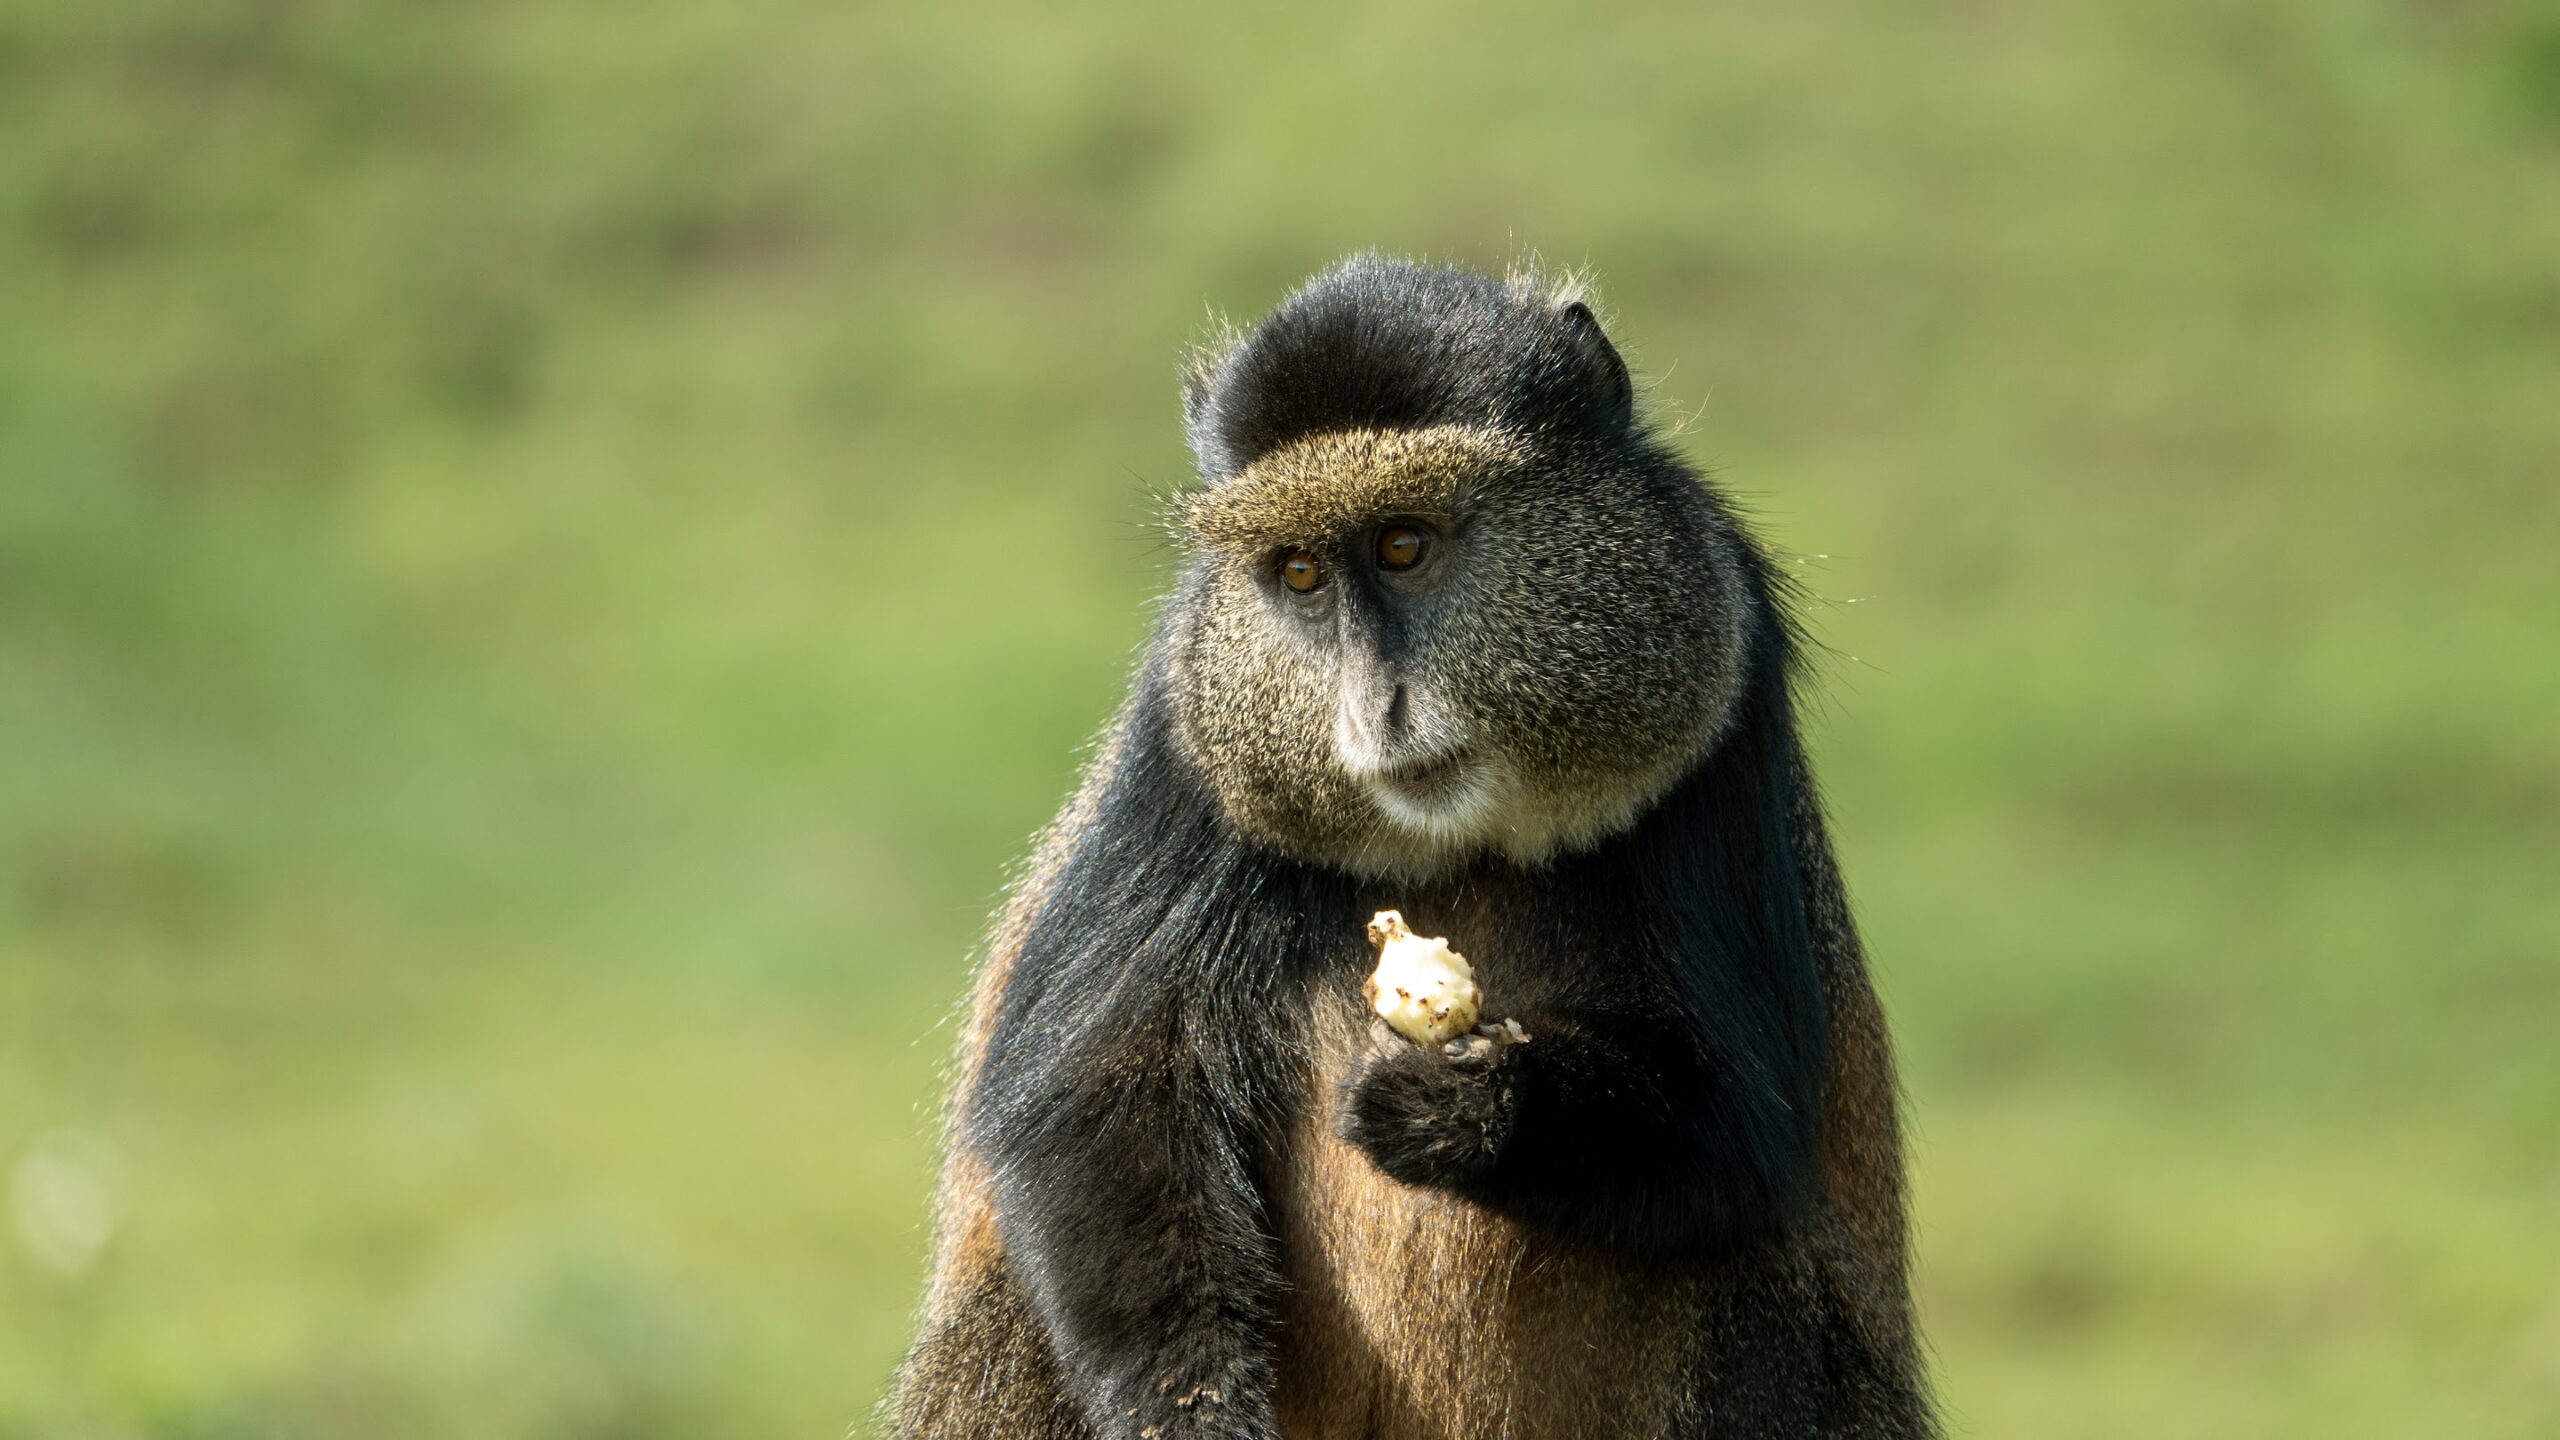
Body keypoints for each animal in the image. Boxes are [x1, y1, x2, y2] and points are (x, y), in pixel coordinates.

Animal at [879, 254, 1933, 1440]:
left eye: (1402, 545)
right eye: (1298, 573)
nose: (1373, 710)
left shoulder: (1723, 683)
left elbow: (1738, 1125)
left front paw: (1466, 1106)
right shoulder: (1185, 739)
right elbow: (1090, 1090)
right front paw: (1193, 1412)